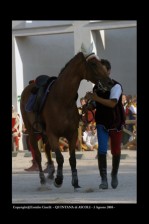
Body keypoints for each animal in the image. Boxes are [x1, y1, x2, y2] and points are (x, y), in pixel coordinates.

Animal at [20, 50, 113, 189]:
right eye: (93, 64)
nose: (109, 82)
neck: (62, 99)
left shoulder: (72, 134)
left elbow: (72, 159)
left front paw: (75, 181)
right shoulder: (53, 134)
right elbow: (60, 158)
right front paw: (59, 180)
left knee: (47, 150)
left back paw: (51, 172)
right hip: (32, 131)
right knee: (37, 154)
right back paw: (43, 179)